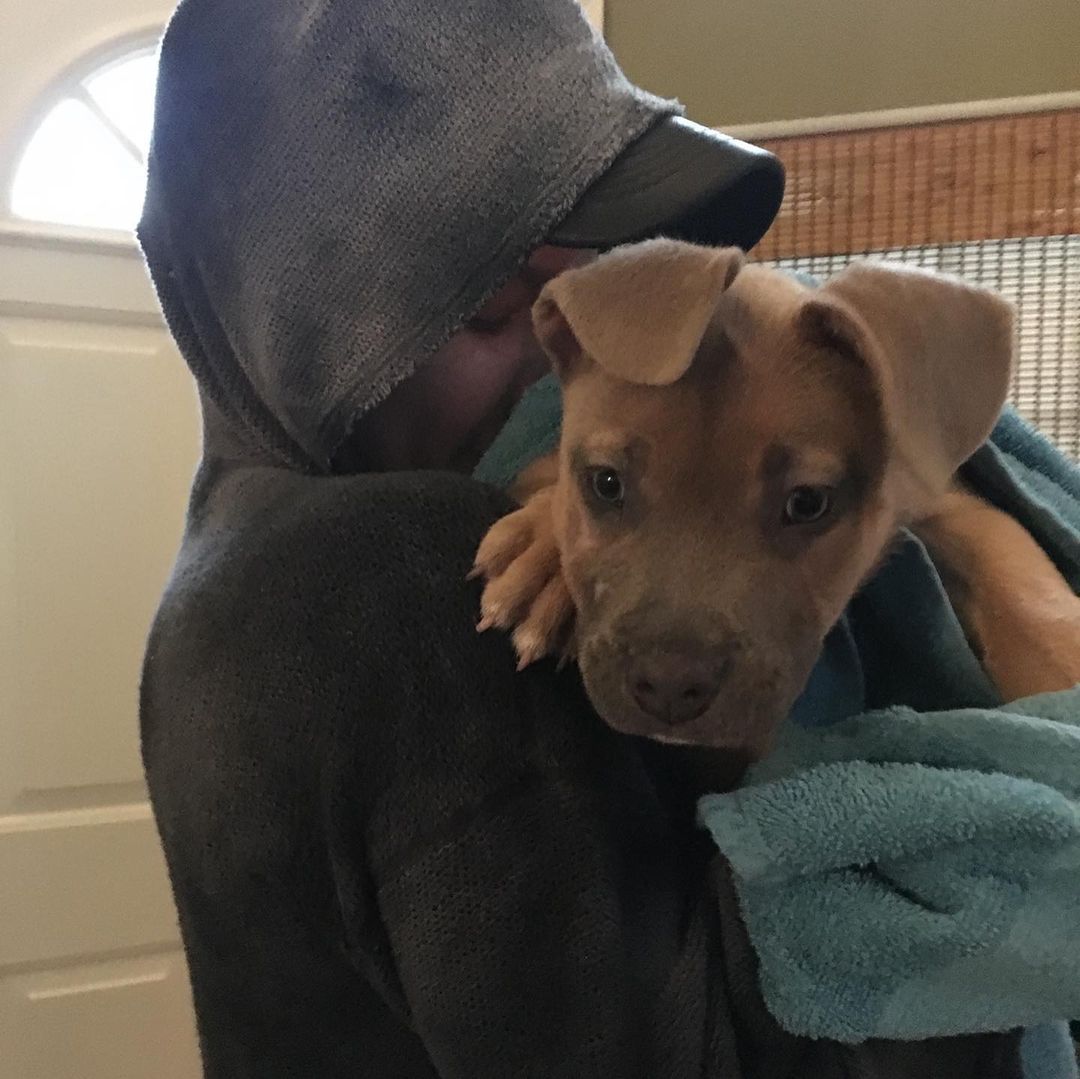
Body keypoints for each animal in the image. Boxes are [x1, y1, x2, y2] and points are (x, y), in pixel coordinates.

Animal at [472, 239, 1080, 762]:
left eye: (808, 503)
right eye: (605, 483)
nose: (670, 684)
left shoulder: (942, 495)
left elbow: (1020, 585)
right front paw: (545, 560)